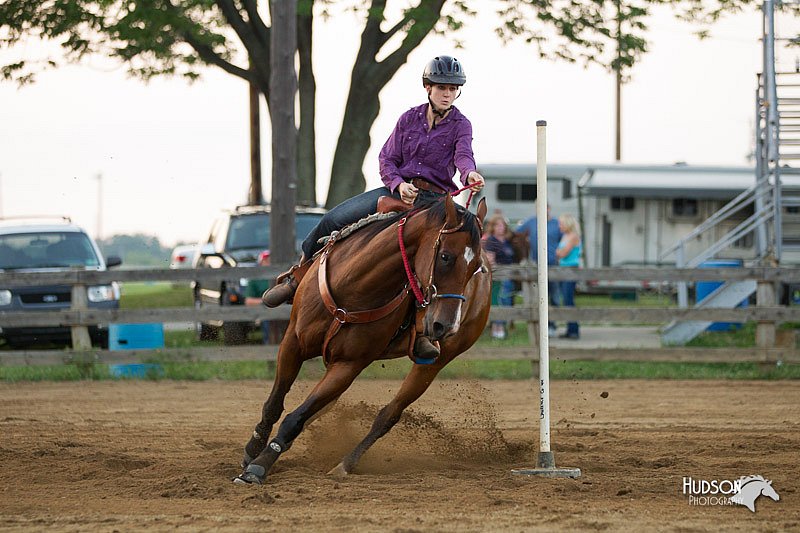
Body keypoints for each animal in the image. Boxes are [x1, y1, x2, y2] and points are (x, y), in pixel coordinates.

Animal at [234, 194, 490, 482]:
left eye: (475, 267)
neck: (353, 288)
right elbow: (275, 403)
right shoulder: (293, 342)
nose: (446, 326)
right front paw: (253, 450)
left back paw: (344, 465)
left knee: (388, 415)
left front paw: (260, 465)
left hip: (438, 361)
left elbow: (295, 418)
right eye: (445, 257)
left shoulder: (348, 365)